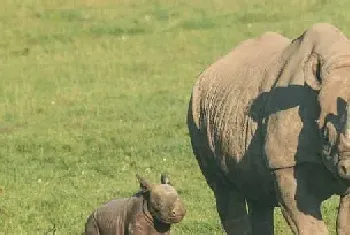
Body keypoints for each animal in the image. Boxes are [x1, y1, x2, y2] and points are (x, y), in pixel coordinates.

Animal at [187, 22, 350, 235]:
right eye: (325, 134)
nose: (349, 168)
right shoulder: (283, 162)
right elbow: (308, 223)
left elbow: (345, 222)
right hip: (197, 110)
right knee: (224, 189)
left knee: (257, 194)